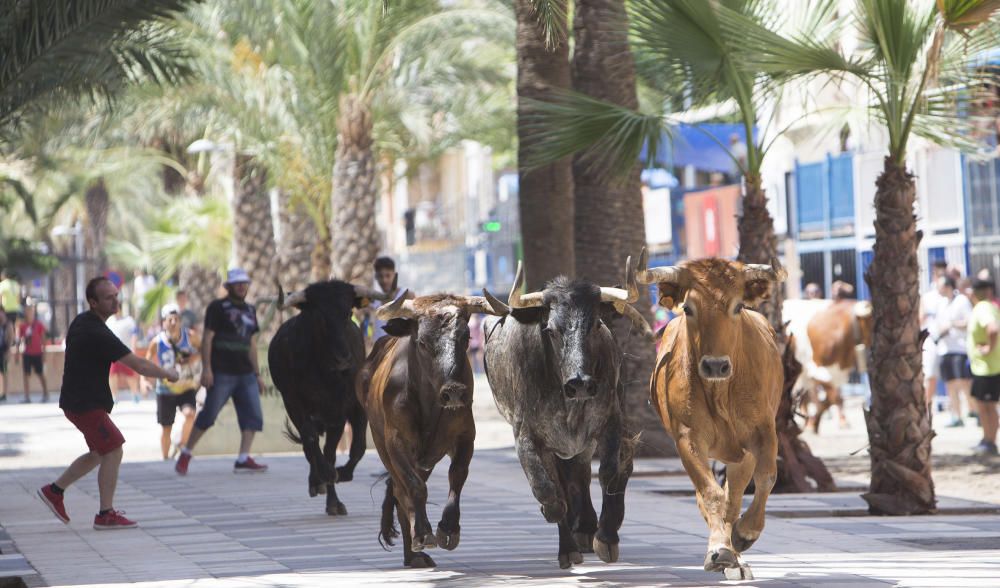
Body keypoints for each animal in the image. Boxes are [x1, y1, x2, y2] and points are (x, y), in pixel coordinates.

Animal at [266, 280, 378, 516]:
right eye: (319, 317)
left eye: (348, 313)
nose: (343, 358)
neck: (326, 372)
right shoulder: (294, 402)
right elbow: (311, 441)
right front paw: (326, 475)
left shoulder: (347, 408)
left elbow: (356, 447)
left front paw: (340, 478)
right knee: (310, 447)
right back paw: (317, 481)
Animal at [358, 292, 508, 568]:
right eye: (422, 342)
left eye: (465, 337)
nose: (454, 392)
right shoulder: (396, 443)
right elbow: (414, 488)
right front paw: (423, 532)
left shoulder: (465, 436)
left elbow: (457, 475)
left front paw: (448, 529)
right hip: (384, 448)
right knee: (400, 492)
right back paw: (414, 548)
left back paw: (414, 555)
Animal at [482, 274, 640, 568]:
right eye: (552, 330)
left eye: (596, 324)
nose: (580, 384)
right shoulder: (527, 438)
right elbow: (549, 491)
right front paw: (565, 545)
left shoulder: (610, 423)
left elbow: (609, 473)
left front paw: (606, 538)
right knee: (568, 483)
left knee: (596, 471)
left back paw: (589, 528)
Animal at [640, 249, 788, 580]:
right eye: (688, 308)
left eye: (737, 306)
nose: (715, 365)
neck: (721, 392)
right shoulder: (688, 438)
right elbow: (710, 494)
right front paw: (720, 549)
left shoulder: (763, 433)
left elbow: (766, 478)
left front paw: (745, 533)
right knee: (712, 497)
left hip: (740, 455)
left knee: (735, 496)